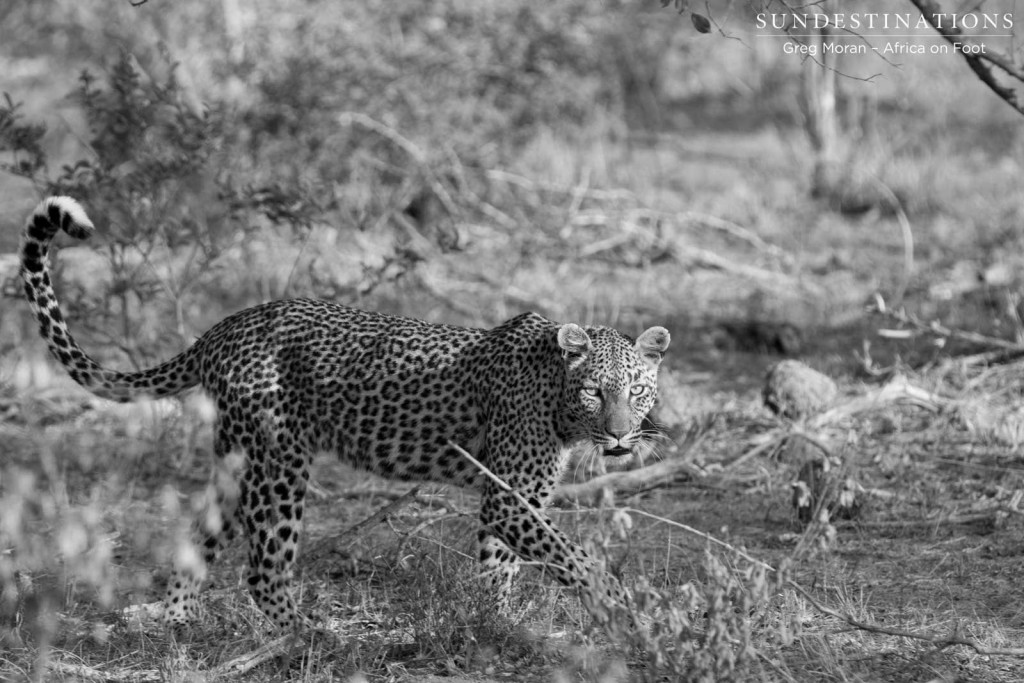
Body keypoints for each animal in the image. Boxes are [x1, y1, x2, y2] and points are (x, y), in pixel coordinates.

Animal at [18, 196, 671, 630]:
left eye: (638, 390)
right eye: (595, 392)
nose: (620, 437)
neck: (558, 402)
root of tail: (224, 327)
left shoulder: (514, 499)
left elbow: (500, 567)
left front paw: (499, 623)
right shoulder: (511, 496)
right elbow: (570, 555)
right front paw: (618, 605)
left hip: (238, 459)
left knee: (202, 535)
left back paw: (175, 614)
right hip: (279, 461)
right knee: (264, 569)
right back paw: (311, 636)